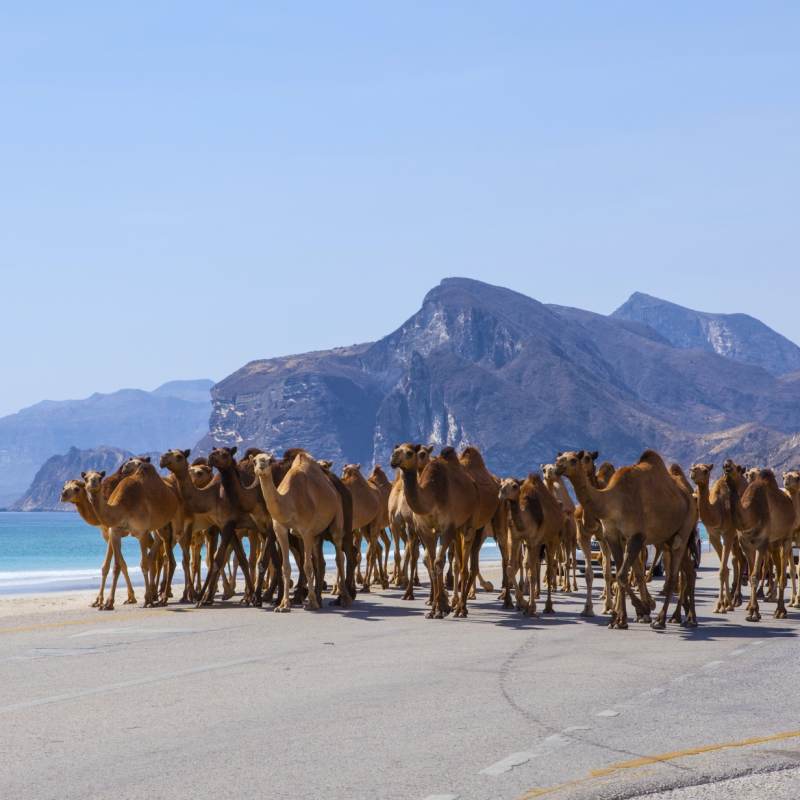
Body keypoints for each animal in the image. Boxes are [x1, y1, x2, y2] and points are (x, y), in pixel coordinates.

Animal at [60, 479, 137, 608]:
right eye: (64, 487)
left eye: (76, 488)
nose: (63, 495)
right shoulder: (107, 534)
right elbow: (122, 563)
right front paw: (131, 597)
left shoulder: (111, 531)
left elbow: (108, 566)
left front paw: (99, 600)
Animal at [252, 450, 352, 612]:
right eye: (254, 460)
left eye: (270, 460)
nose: (261, 466)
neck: (288, 502)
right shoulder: (280, 529)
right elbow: (286, 566)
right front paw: (283, 605)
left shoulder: (306, 531)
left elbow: (307, 566)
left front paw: (311, 603)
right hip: (315, 534)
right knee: (321, 561)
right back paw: (319, 597)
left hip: (337, 515)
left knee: (339, 556)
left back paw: (345, 599)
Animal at [389, 443, 478, 618]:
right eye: (396, 450)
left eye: (409, 453)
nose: (394, 458)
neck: (431, 498)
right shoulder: (425, 530)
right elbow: (431, 561)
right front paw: (435, 609)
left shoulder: (447, 527)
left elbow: (438, 562)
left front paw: (440, 609)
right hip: (453, 530)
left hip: (468, 522)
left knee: (463, 560)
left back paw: (461, 608)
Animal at [555, 449, 696, 630]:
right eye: (559, 457)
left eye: (573, 460)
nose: (557, 466)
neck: (612, 502)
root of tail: (690, 497)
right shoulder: (612, 536)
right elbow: (619, 573)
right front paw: (619, 620)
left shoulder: (636, 535)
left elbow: (622, 575)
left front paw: (644, 609)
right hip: (671, 538)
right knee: (689, 571)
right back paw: (689, 618)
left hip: (685, 530)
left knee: (673, 576)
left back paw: (661, 620)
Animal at [728, 467, 794, 621]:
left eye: (735, 469)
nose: (726, 466)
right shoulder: (746, 544)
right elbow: (752, 575)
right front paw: (752, 610)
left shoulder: (761, 544)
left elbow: (754, 576)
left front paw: (753, 612)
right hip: (774, 544)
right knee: (778, 570)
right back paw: (778, 608)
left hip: (786, 538)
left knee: (782, 574)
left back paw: (781, 611)